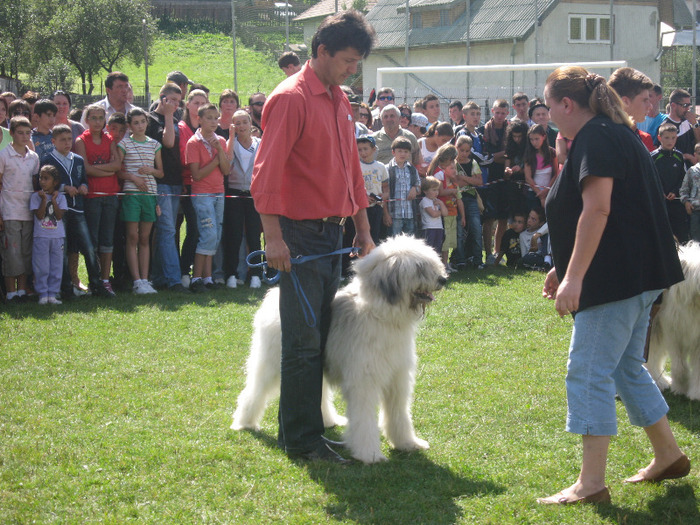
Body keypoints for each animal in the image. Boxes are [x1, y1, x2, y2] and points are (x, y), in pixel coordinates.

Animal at [231, 234, 448, 462]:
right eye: (419, 267)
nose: (443, 279)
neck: (381, 314)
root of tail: (273, 295)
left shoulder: (398, 378)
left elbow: (399, 413)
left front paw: (407, 443)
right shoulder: (363, 380)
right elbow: (364, 419)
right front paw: (369, 454)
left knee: (318, 393)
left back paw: (329, 420)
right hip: (272, 361)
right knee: (255, 389)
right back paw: (244, 422)